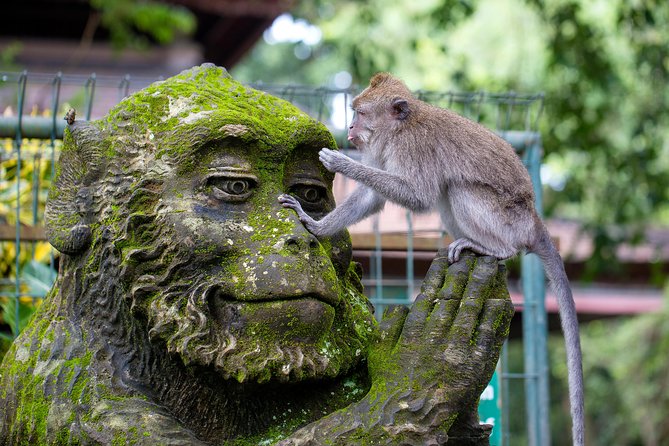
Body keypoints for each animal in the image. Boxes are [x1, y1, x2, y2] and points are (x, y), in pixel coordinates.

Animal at [279, 72, 584, 446]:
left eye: (361, 113)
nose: (350, 127)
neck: (400, 128)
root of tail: (534, 220)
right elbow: (374, 199)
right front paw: (315, 225)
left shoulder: (411, 148)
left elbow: (418, 195)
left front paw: (341, 162)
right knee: (446, 193)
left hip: (508, 221)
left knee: (456, 189)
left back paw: (495, 249)